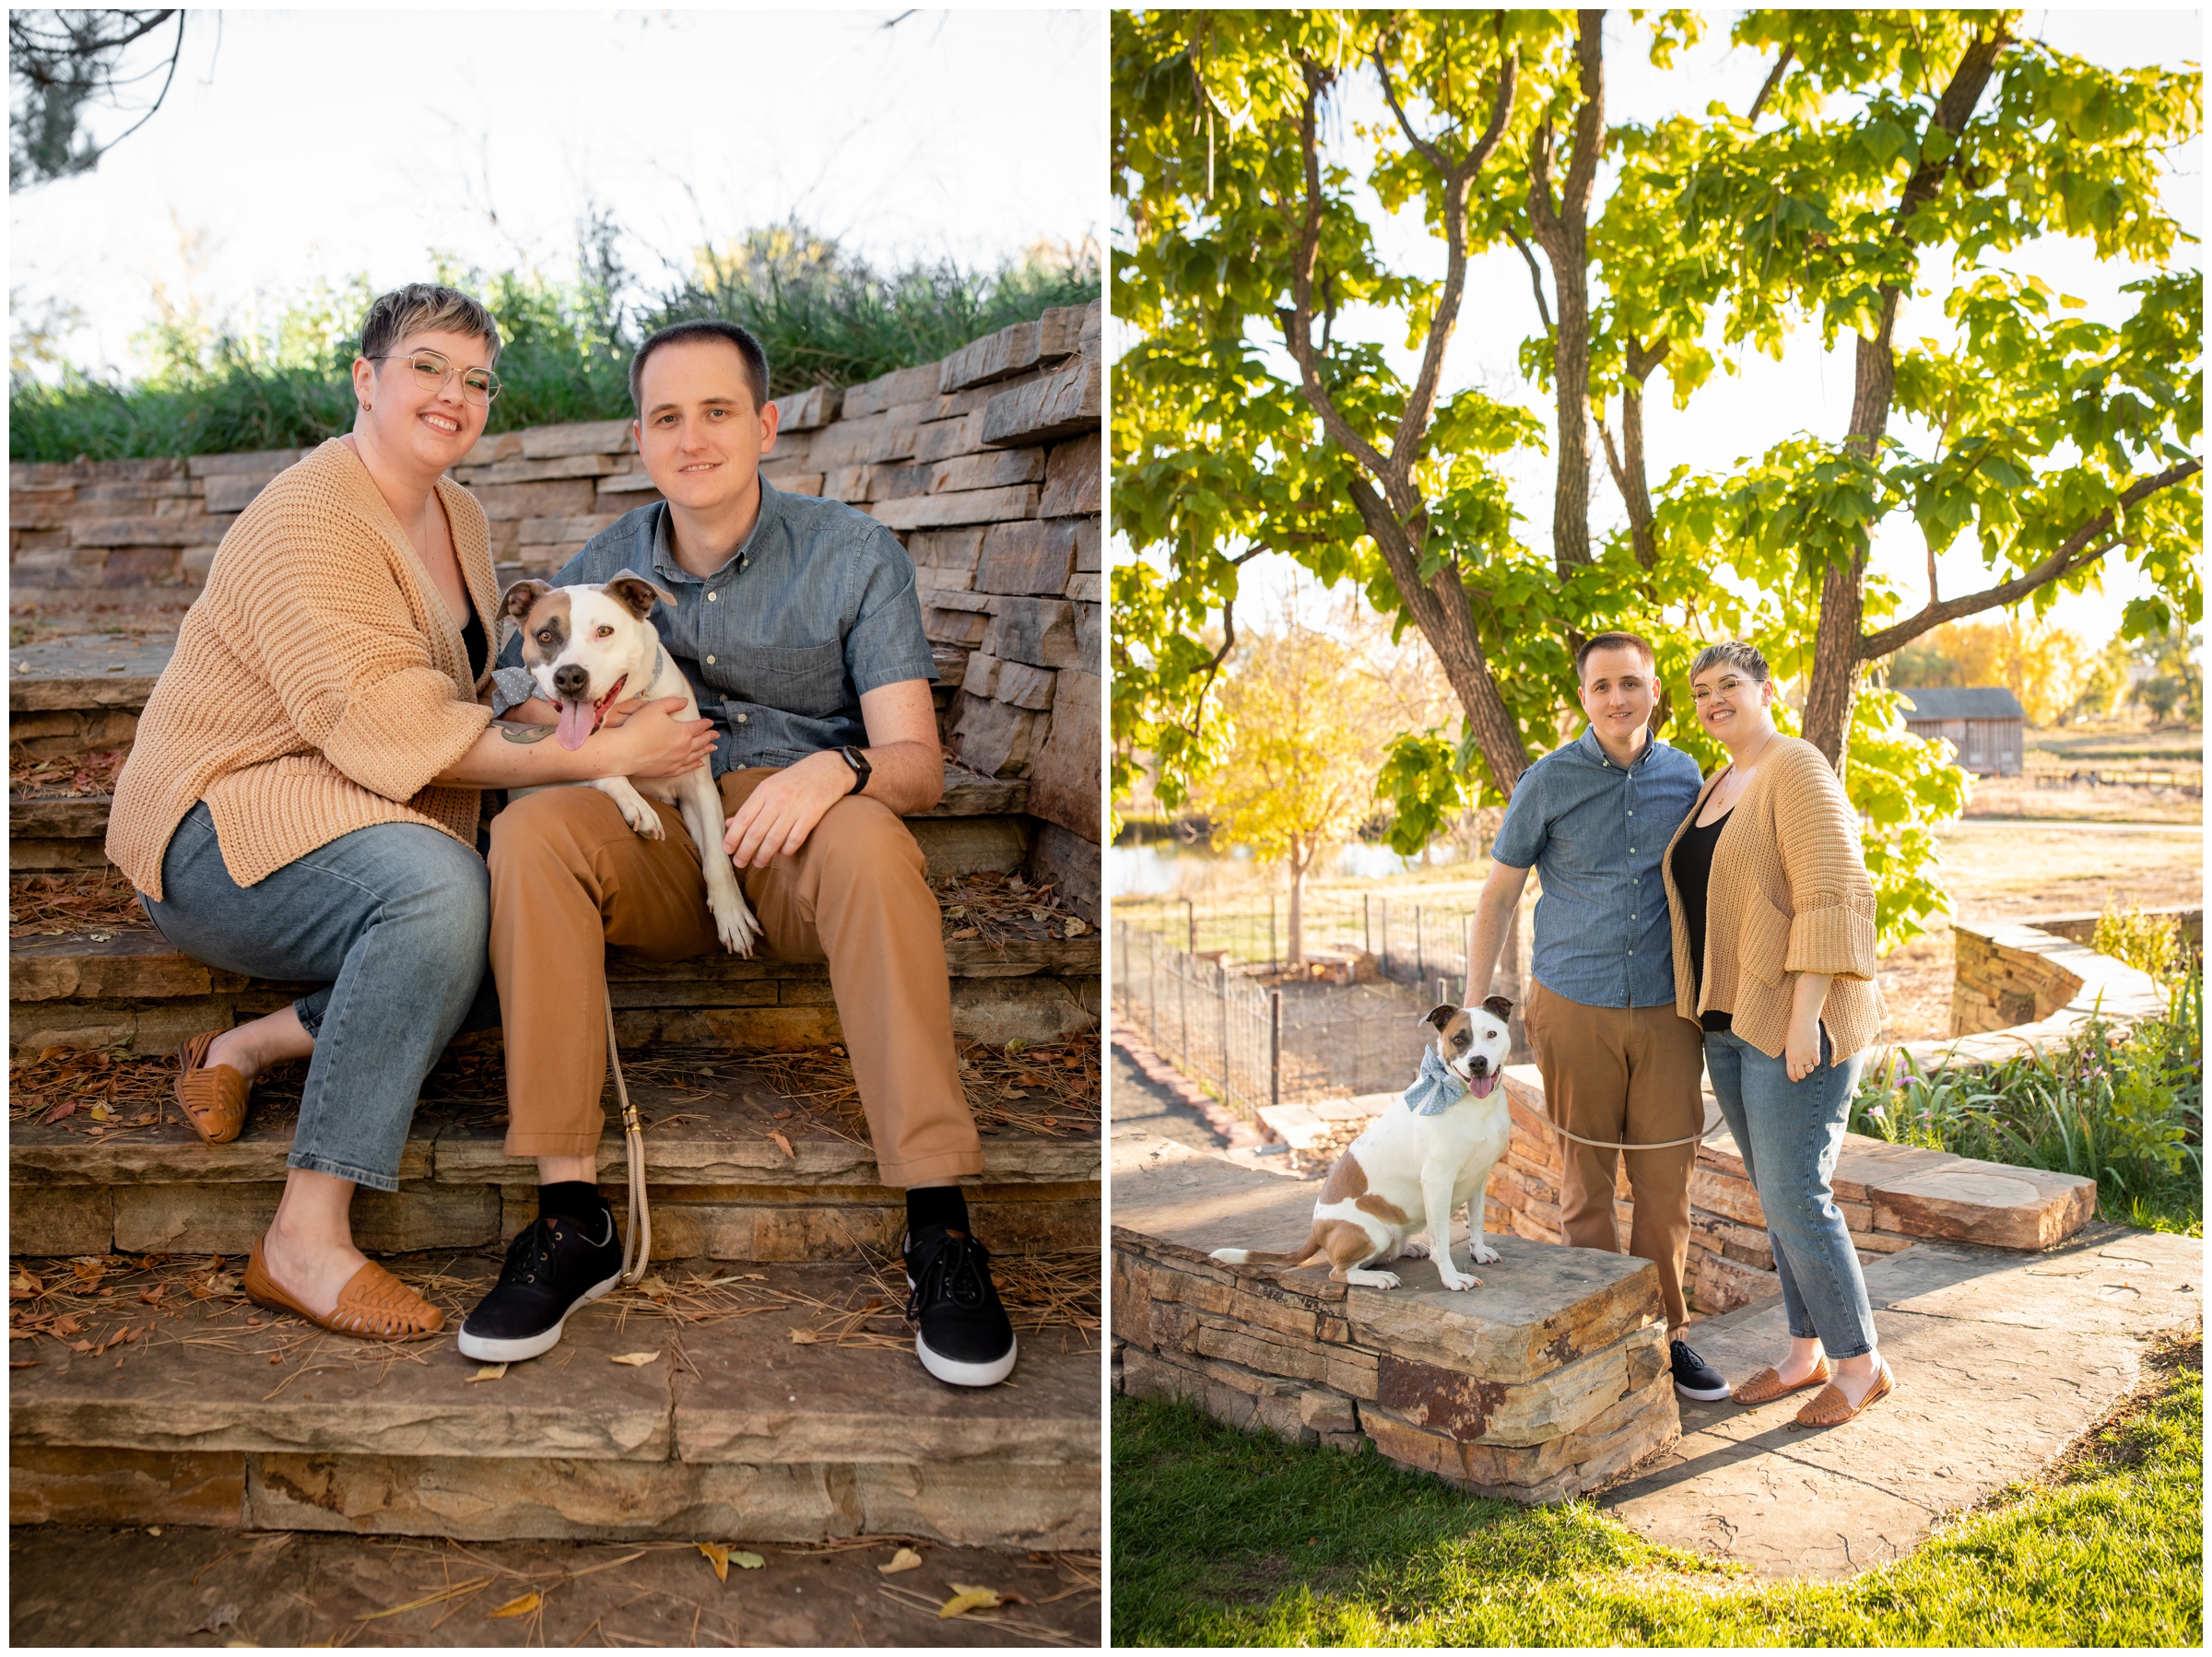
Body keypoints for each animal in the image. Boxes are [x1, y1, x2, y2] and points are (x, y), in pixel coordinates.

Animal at [501, 570, 760, 951]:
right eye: (545, 635)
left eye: (604, 631)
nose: (569, 677)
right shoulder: (534, 775)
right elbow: (599, 769)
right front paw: (635, 802)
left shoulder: (698, 786)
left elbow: (716, 856)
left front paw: (732, 913)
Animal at [1212, 1000, 1522, 1283]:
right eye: (1458, 1040)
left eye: (1491, 1034)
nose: (1477, 1062)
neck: (1474, 1105)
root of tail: (1316, 1232)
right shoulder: (1437, 1182)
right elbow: (1442, 1239)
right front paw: (1452, 1279)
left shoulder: (1479, 1178)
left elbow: (1477, 1221)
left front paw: (1478, 1252)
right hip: (1374, 1233)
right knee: (1339, 1272)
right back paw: (1378, 1278)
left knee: (1381, 1256)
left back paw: (1409, 1249)